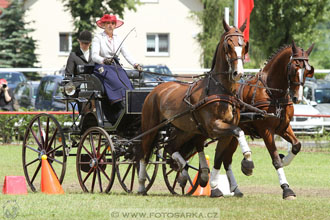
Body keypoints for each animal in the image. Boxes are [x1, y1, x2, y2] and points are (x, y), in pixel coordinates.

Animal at [138, 18, 251, 194]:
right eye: (228, 45)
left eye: (244, 45)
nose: (237, 73)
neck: (220, 90)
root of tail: (156, 89)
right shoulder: (215, 127)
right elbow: (239, 131)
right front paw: (247, 157)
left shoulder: (225, 132)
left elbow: (219, 158)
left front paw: (215, 186)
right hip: (151, 127)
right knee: (145, 152)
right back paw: (142, 185)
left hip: (184, 130)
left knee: (170, 148)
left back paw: (184, 173)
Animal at [210, 41, 316, 199]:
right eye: (294, 68)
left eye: (309, 71)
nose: (297, 97)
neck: (272, 93)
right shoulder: (266, 130)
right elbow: (275, 159)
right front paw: (286, 189)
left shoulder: (283, 127)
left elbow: (296, 145)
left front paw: (284, 159)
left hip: (232, 135)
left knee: (226, 159)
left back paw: (236, 188)